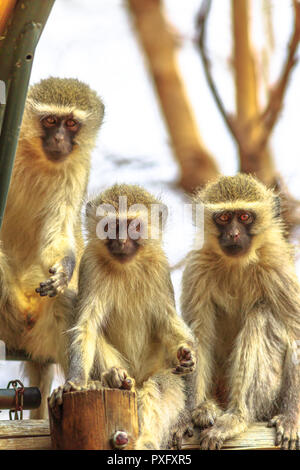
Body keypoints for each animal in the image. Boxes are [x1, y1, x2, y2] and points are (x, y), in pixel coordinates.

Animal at [0, 78, 104, 418]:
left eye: (70, 123)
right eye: (50, 121)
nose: (59, 138)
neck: (37, 157)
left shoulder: (76, 169)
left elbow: (58, 234)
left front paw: (64, 270)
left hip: (40, 333)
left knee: (65, 303)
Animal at [51, 185, 197, 452]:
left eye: (134, 226)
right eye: (110, 226)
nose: (121, 241)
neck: (126, 265)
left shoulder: (160, 269)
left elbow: (175, 332)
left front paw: (187, 358)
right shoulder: (90, 264)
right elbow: (86, 327)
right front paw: (75, 382)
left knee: (160, 384)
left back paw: (146, 440)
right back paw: (113, 379)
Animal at [182, 174, 300, 450]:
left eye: (245, 217)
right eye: (224, 217)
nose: (234, 234)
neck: (236, 264)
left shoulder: (277, 268)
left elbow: (297, 335)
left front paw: (292, 418)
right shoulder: (197, 269)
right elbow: (198, 338)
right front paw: (193, 412)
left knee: (261, 314)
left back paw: (237, 417)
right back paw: (208, 409)